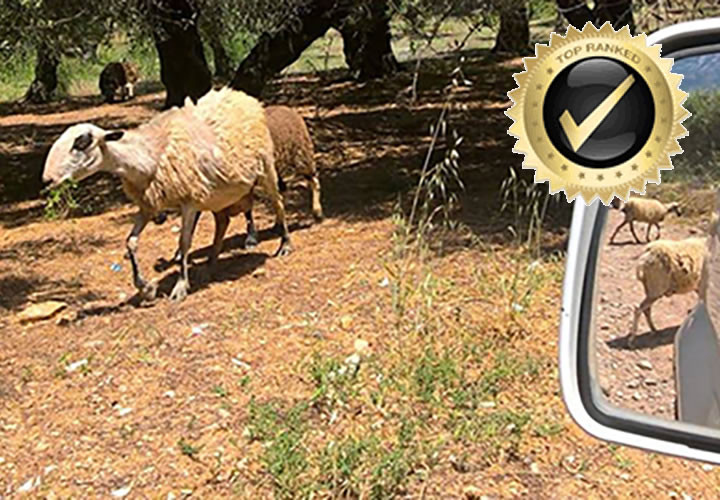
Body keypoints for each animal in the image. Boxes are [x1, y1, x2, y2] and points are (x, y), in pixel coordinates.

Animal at [42, 87, 291, 302]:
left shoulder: (189, 202)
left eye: (82, 142)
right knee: (222, 221)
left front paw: (180, 286)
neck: (149, 156)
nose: (47, 180)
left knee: (278, 203)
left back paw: (284, 244)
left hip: (265, 169)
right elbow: (131, 243)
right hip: (217, 195)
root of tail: (240, 95)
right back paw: (211, 264)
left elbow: (184, 242)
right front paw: (146, 287)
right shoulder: (148, 206)